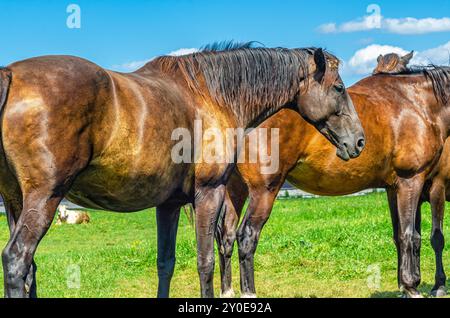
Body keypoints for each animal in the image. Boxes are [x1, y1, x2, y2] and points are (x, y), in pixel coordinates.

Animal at [0, 42, 364, 298]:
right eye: (338, 88)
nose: (359, 141)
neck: (211, 95)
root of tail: (10, 75)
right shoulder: (208, 193)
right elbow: (205, 261)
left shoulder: (169, 204)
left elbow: (166, 263)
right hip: (45, 199)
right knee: (17, 260)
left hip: (16, 202)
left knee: (29, 269)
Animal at [218, 56, 450, 298]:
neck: (416, 103)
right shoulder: (411, 181)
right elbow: (409, 235)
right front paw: (412, 286)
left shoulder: (393, 187)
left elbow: (402, 235)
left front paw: (406, 286)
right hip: (264, 190)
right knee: (247, 236)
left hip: (236, 188)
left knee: (226, 236)